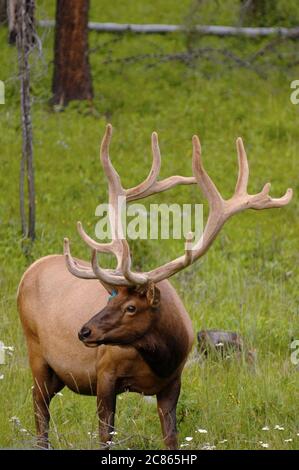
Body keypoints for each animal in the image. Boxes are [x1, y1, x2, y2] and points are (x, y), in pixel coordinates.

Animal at [17, 124, 294, 448]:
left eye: (130, 307)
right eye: (109, 299)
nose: (84, 331)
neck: (160, 356)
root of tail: (29, 271)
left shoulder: (173, 382)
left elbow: (171, 436)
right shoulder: (105, 374)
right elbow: (105, 435)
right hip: (36, 353)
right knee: (40, 413)